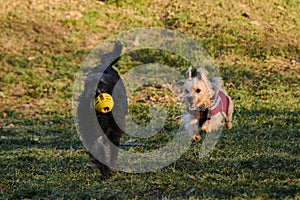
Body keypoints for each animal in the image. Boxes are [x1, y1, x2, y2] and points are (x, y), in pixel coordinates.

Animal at [77, 41, 127, 177]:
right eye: (87, 84)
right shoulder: (93, 133)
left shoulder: (115, 131)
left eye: (102, 83)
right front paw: (104, 170)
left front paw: (111, 166)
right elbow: (99, 149)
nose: (91, 93)